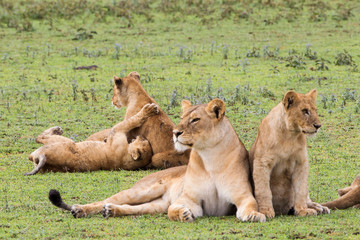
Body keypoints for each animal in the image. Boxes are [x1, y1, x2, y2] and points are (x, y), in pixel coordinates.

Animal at [25, 104, 159, 175]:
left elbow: (133, 120)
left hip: (67, 143)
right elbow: (132, 121)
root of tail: (44, 158)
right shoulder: (116, 133)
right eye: (145, 142)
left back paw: (57, 129)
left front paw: (149, 110)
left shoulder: (117, 131)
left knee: (39, 139)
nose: (142, 137)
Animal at [49, 98, 266, 222]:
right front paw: (182, 214)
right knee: (104, 200)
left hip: (154, 205)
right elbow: (174, 209)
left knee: (131, 209)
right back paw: (80, 209)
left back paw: (111, 211)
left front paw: (254, 215)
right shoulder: (190, 200)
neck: (209, 157)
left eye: (195, 120)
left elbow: (250, 205)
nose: (175, 133)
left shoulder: (243, 196)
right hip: (141, 191)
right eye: (181, 119)